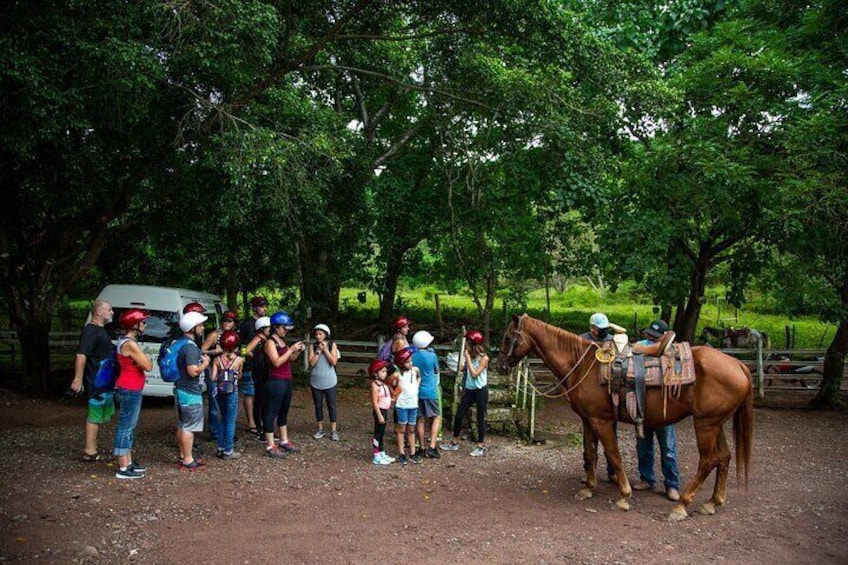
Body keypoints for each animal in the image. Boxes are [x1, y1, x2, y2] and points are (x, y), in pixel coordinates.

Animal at [494, 312, 752, 520]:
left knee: (708, 460)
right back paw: (713, 502)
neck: (584, 364)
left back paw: (681, 505)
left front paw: (624, 496)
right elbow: (590, 452)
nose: (500, 366)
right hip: (715, 423)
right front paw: (588, 488)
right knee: (724, 457)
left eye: (508, 338)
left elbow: (613, 454)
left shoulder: (601, 420)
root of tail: (739, 364)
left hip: (705, 425)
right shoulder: (588, 419)